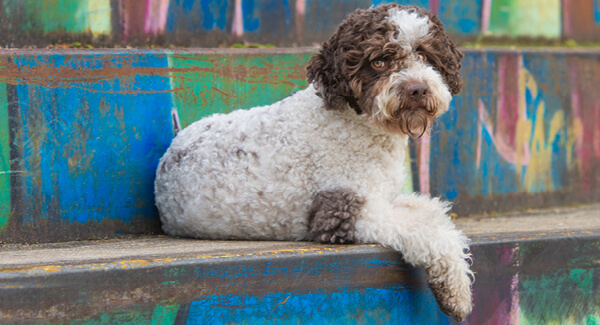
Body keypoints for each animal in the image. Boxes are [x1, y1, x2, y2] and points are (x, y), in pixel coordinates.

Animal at [155, 3, 474, 320]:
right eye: (379, 62)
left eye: (424, 54)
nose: (417, 89)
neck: (359, 124)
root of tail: (169, 154)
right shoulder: (341, 212)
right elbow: (428, 230)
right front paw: (455, 293)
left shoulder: (387, 198)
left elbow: (433, 212)